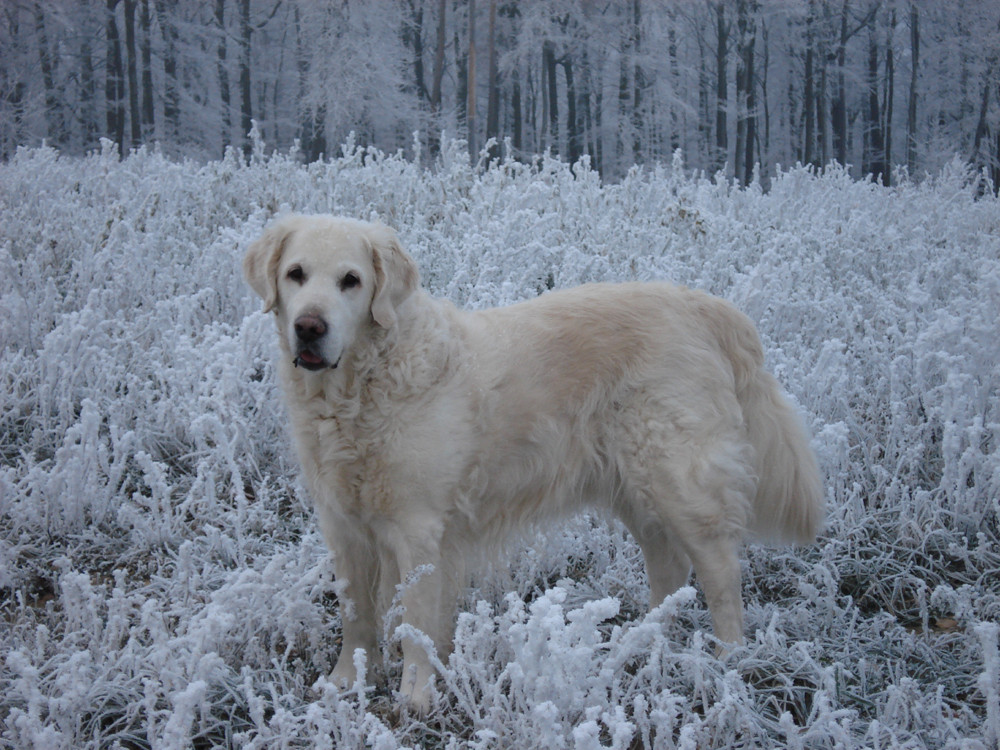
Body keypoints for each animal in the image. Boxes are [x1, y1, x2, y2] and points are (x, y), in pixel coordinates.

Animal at [242, 214, 820, 712]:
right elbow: (356, 613)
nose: (309, 327)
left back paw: (728, 663)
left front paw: (416, 697)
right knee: (670, 569)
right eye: (296, 274)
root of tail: (704, 305)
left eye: (351, 281)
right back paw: (641, 642)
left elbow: (417, 625)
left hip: (679, 481)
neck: (358, 390)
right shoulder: (343, 524)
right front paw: (347, 681)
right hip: (636, 489)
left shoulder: (419, 530)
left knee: (721, 574)